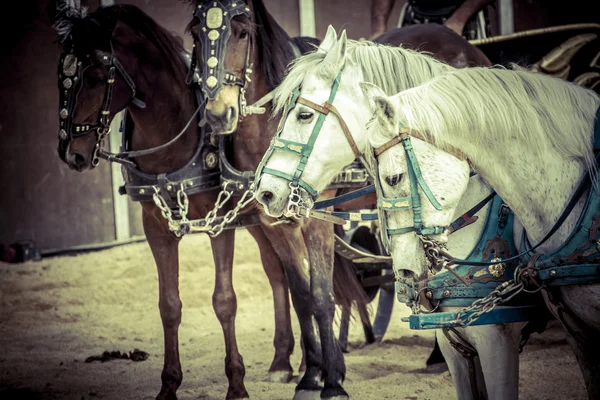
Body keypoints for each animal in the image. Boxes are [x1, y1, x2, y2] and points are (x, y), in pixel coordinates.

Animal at [188, 1, 492, 398]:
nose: (218, 112)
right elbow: (301, 295)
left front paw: (332, 380)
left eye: (240, 32)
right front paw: (311, 375)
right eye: (195, 33)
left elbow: (321, 295)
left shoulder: (315, 219)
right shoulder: (273, 223)